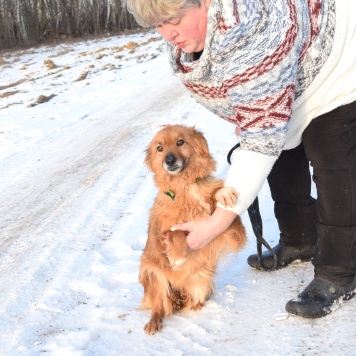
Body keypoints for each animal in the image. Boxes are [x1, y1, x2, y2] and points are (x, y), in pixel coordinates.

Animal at [138, 125, 245, 334]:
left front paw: (220, 193)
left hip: (203, 279)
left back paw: (196, 305)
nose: (169, 161)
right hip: (152, 274)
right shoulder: (160, 236)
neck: (185, 185)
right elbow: (176, 232)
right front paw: (178, 257)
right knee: (158, 306)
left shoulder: (229, 233)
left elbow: (230, 217)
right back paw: (154, 322)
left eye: (180, 142)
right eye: (159, 148)